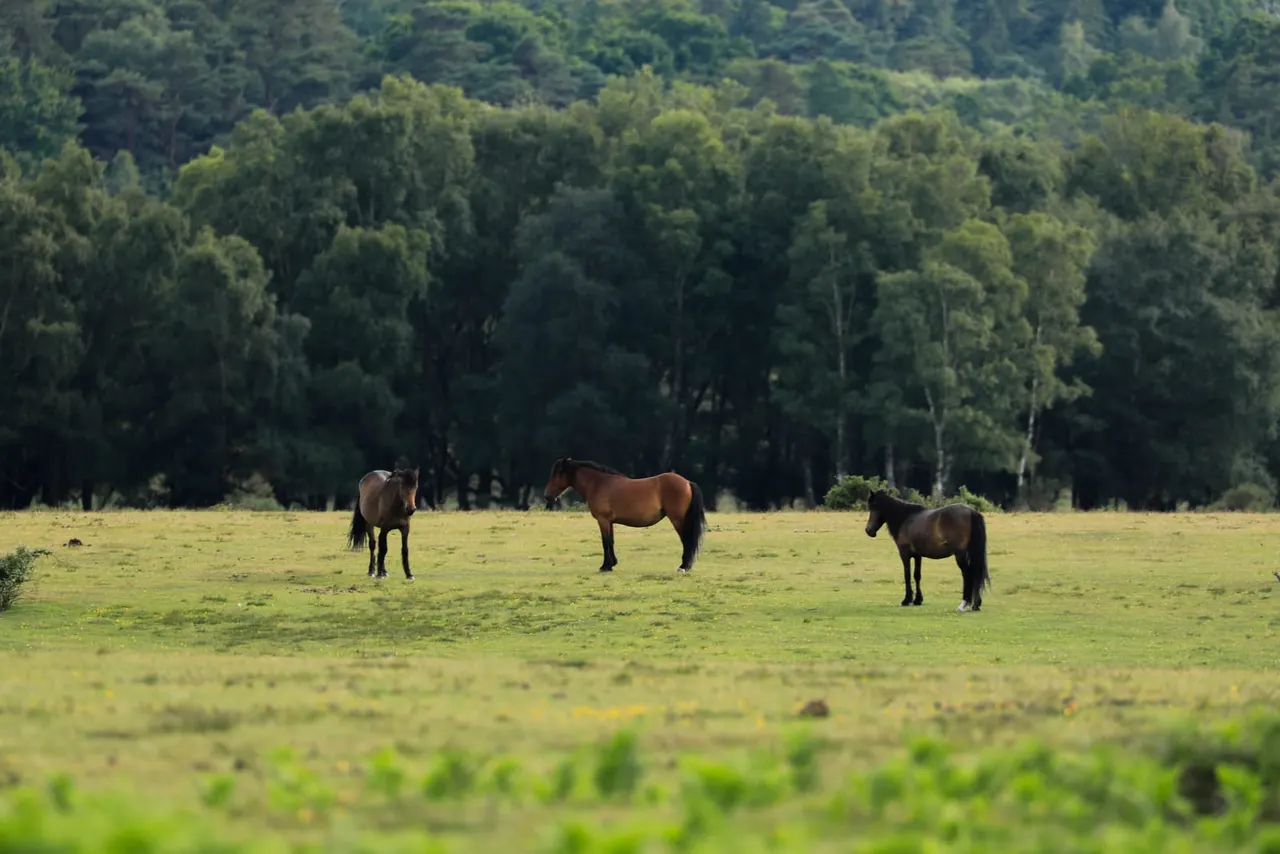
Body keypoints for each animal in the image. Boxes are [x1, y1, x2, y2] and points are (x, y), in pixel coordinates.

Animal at [543, 457, 707, 573]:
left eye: (558, 474)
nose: (547, 496)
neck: (599, 484)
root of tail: (687, 482)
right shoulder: (609, 521)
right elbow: (611, 541)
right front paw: (611, 564)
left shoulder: (602, 520)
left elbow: (605, 542)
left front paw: (605, 566)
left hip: (677, 519)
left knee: (686, 540)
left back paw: (683, 566)